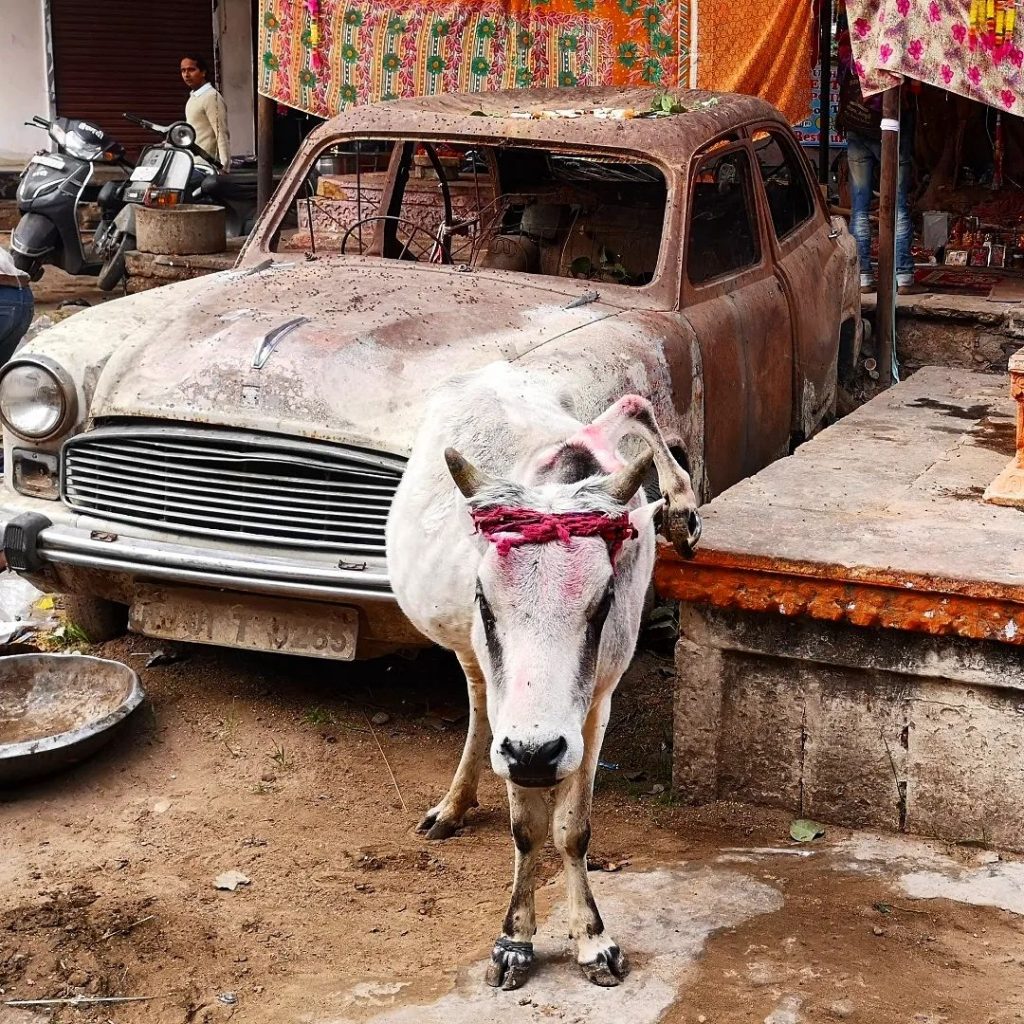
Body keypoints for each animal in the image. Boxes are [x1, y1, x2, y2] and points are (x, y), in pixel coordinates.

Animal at [385, 362, 704, 991]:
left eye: (603, 604)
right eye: (485, 602)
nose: (535, 753)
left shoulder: (596, 706)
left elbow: (571, 829)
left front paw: (594, 941)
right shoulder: (515, 724)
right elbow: (527, 829)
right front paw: (515, 941)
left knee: (633, 406)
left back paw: (678, 511)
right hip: (474, 666)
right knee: (478, 704)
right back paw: (453, 804)